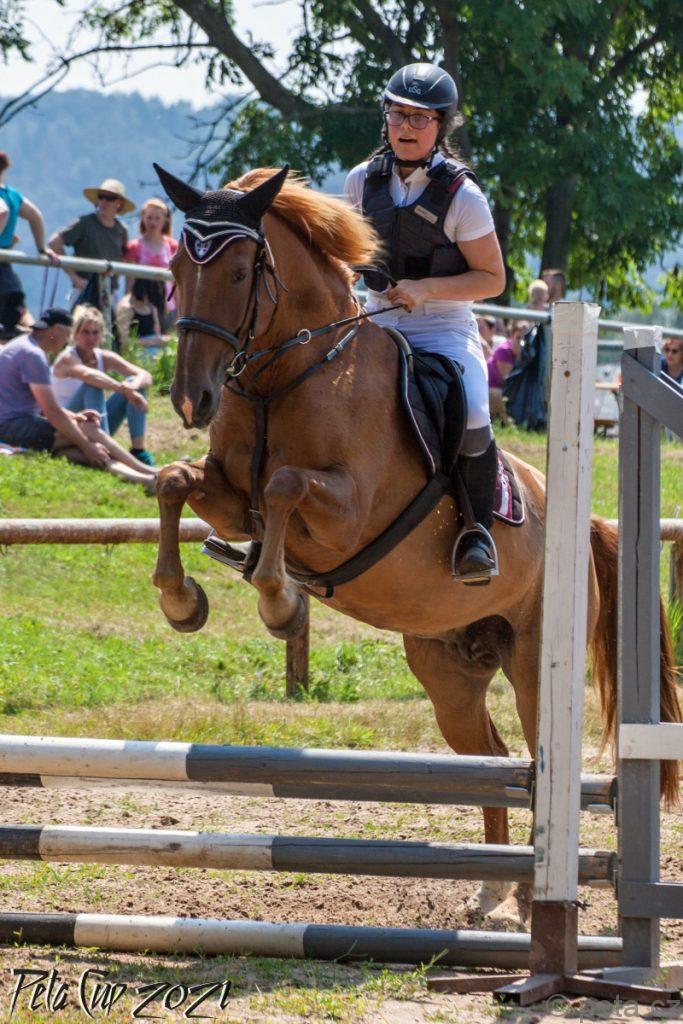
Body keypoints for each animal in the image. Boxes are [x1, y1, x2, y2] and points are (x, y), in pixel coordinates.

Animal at [151, 164, 681, 928]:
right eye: (174, 269)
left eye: (242, 269)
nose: (191, 399)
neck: (290, 375)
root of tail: (581, 526)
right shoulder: (225, 492)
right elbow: (172, 481)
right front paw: (181, 600)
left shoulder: (345, 514)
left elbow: (283, 486)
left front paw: (279, 602)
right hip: (447, 667)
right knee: (492, 757)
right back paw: (495, 891)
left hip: (532, 661)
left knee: (535, 757)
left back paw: (531, 902)